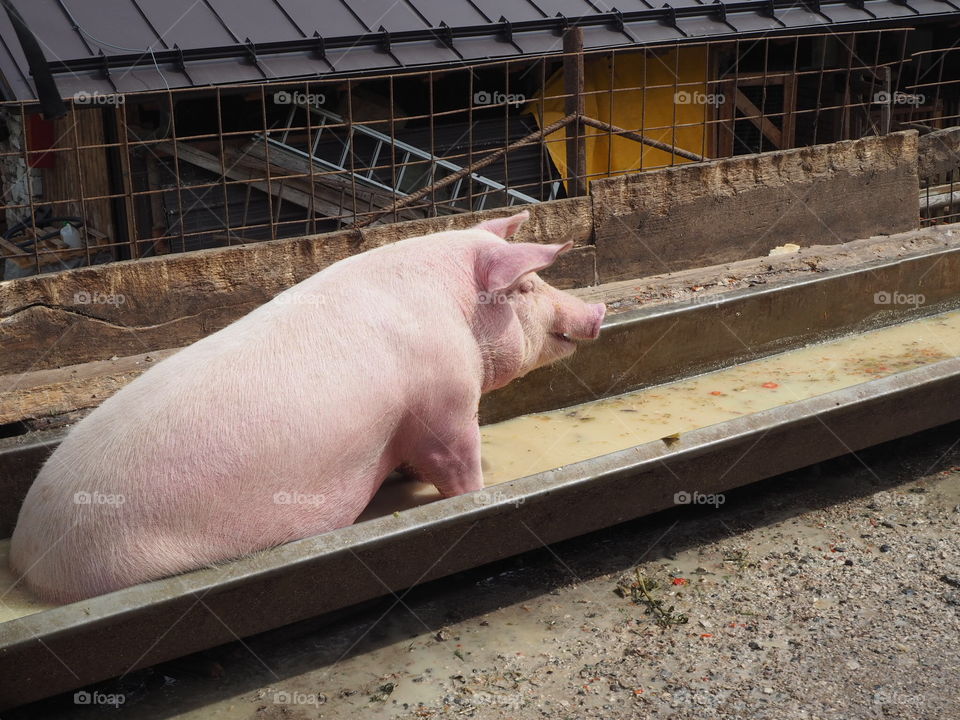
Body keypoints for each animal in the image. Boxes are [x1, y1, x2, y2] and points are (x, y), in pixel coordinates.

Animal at [10, 210, 605, 603]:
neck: (456, 309)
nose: (597, 311)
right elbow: (457, 465)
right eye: (526, 288)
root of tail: (27, 556)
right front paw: (480, 491)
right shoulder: (447, 400)